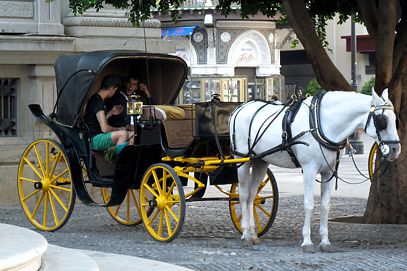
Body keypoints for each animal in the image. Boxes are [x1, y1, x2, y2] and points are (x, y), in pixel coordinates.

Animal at [230, 89, 402, 253]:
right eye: (382, 121)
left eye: (395, 120)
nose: (395, 150)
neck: (320, 124)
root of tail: (240, 108)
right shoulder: (309, 170)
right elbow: (309, 204)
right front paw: (307, 242)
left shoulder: (328, 172)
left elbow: (325, 205)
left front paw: (325, 242)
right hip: (242, 160)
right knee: (243, 195)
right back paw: (245, 234)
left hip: (260, 161)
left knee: (252, 197)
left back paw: (253, 234)